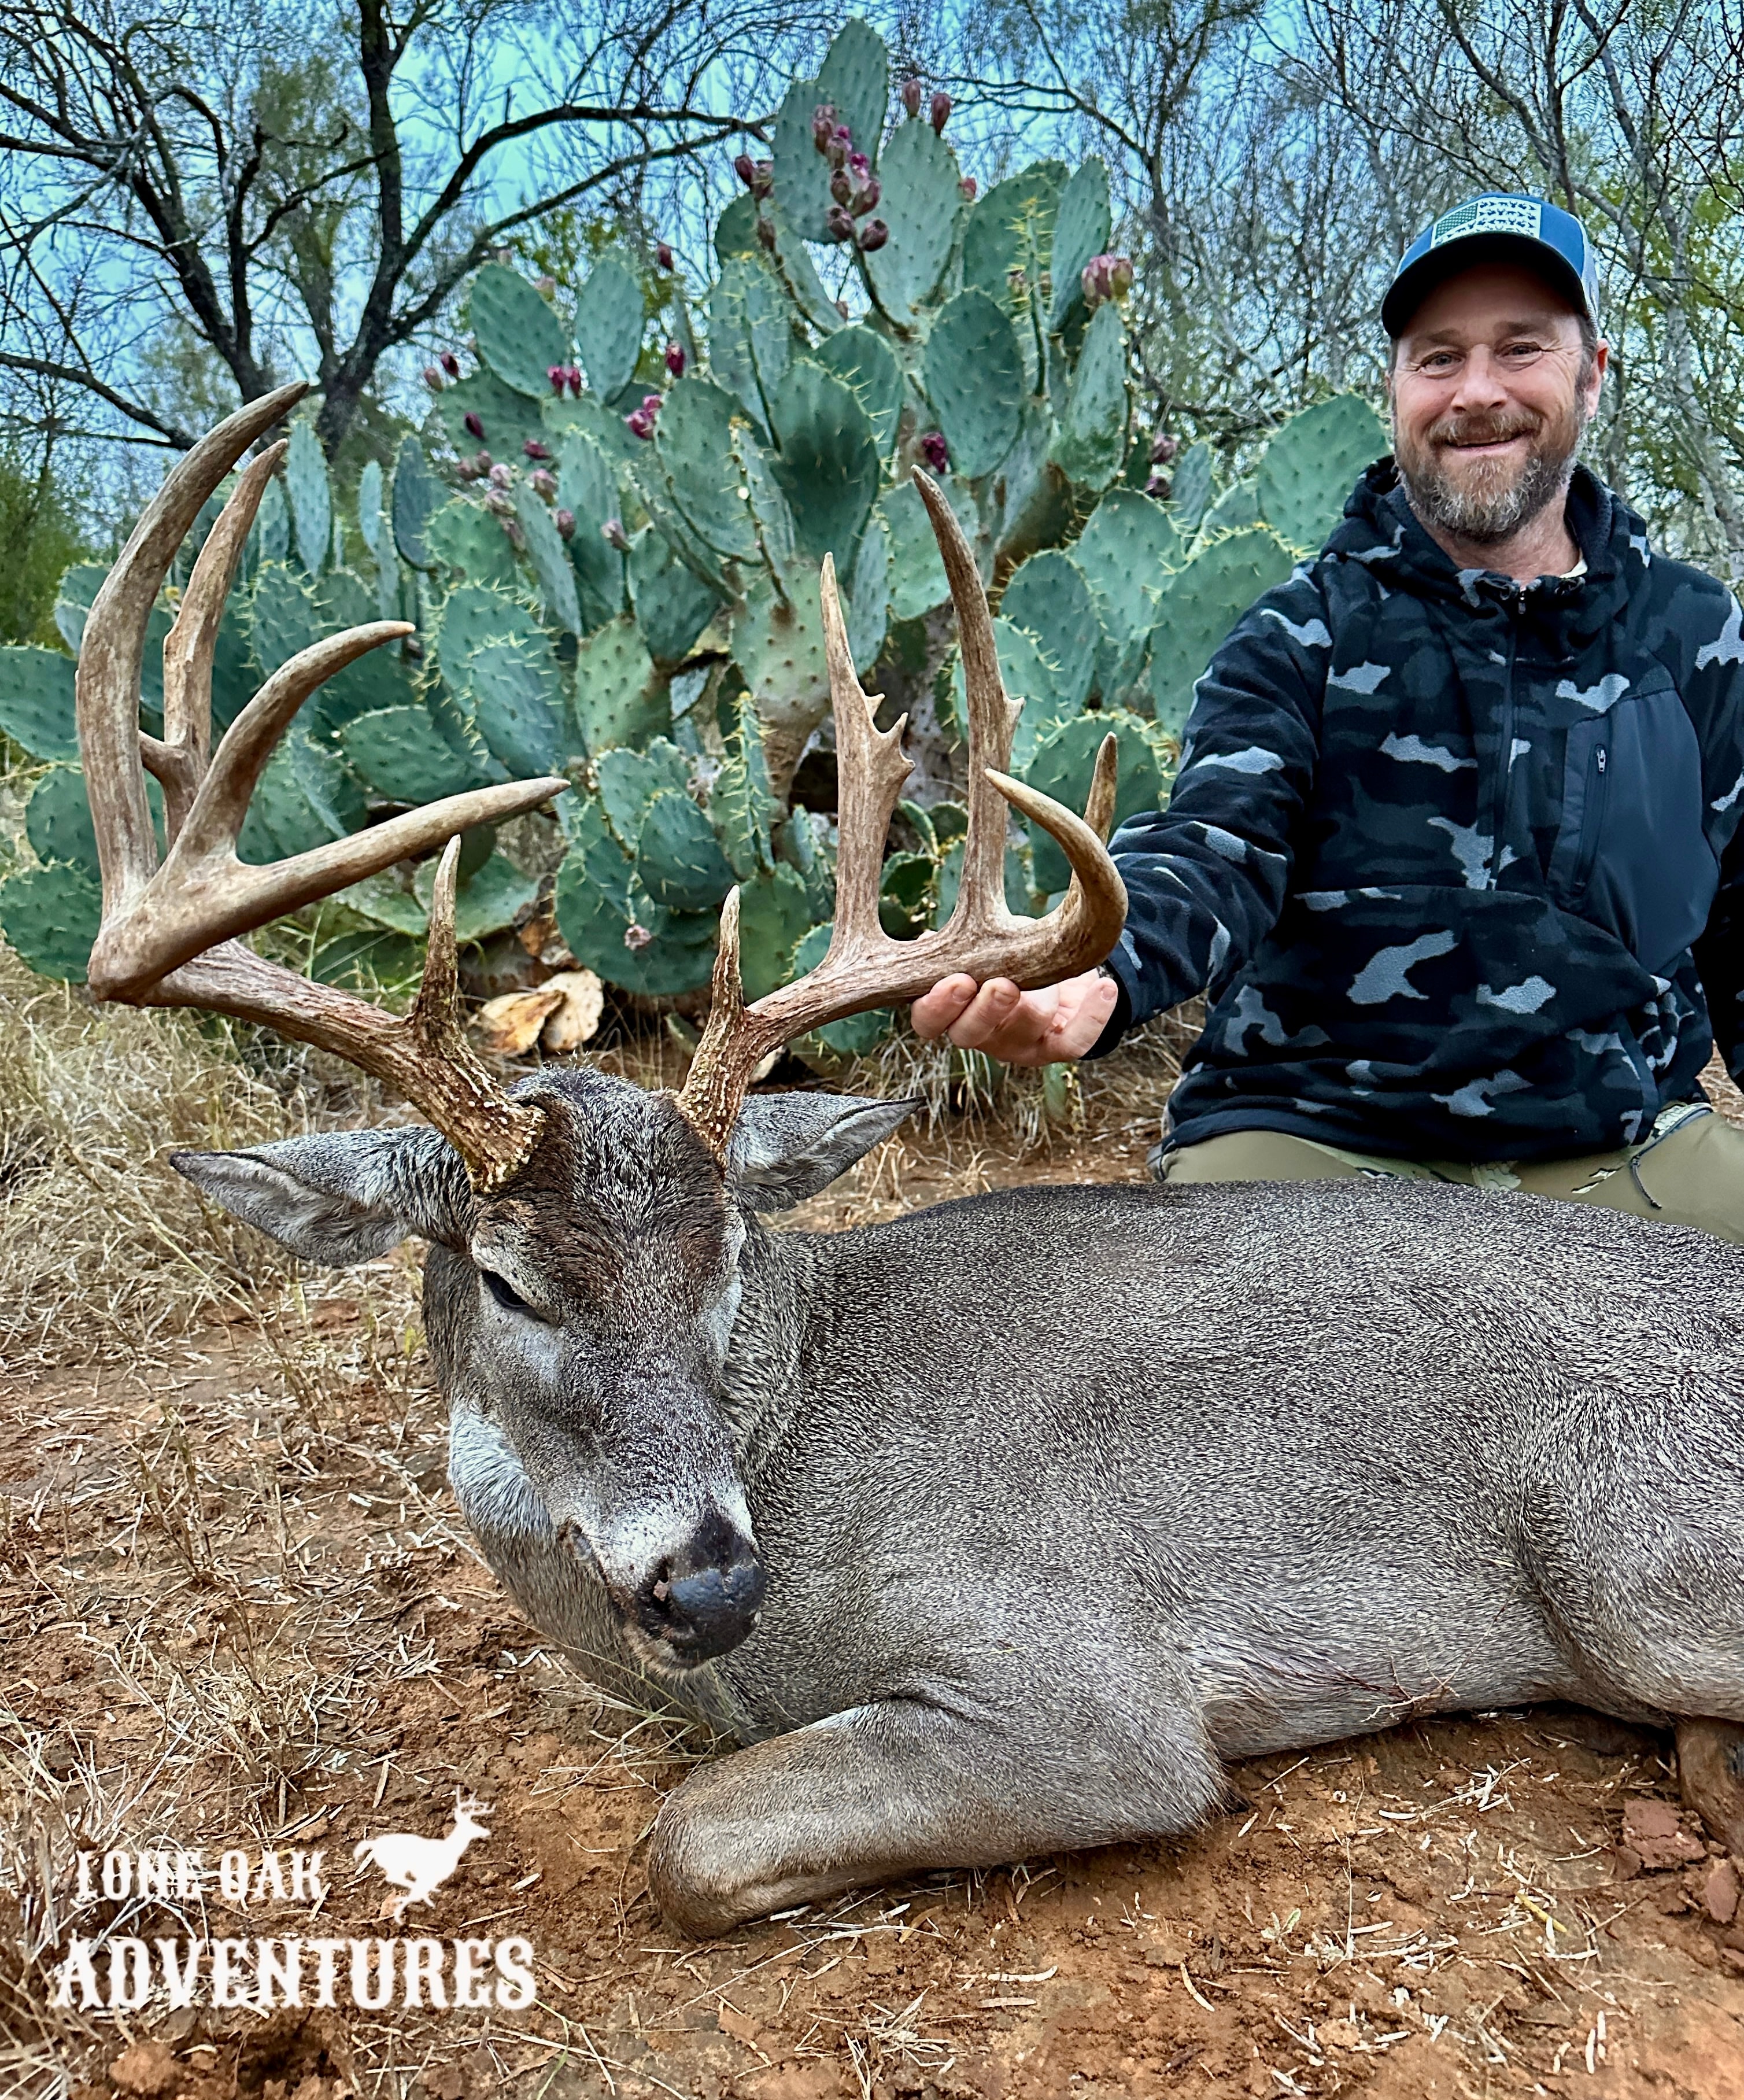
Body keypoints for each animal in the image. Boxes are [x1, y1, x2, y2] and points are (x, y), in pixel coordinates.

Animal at [75, 384, 1744, 1940]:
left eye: (727, 1257)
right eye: (504, 1277)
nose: (709, 1579)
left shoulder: (1085, 1686)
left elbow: (690, 1839)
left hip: (1622, 1557)